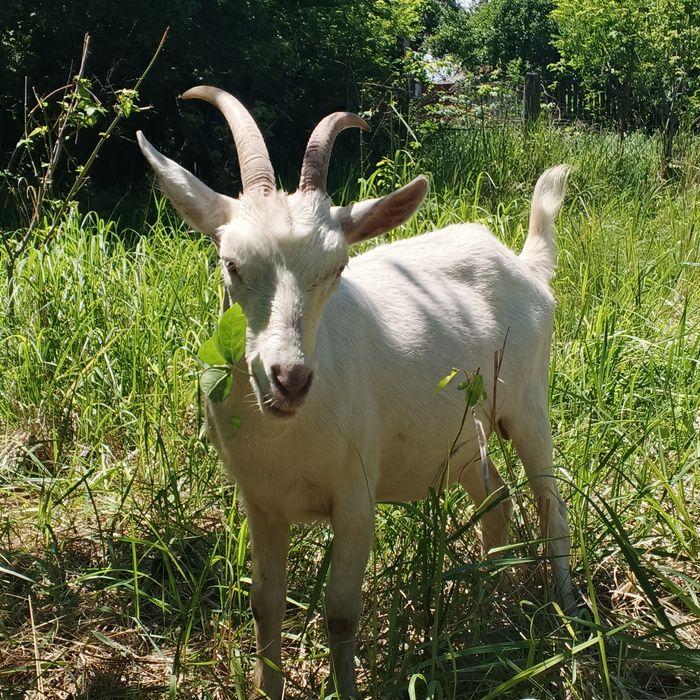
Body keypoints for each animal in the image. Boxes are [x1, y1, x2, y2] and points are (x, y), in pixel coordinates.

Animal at [137, 85, 574, 699]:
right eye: (231, 263)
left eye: (338, 266)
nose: (289, 377)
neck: (286, 438)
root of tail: (524, 265)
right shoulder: (260, 502)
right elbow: (264, 604)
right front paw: (266, 685)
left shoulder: (356, 494)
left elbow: (341, 614)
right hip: (464, 437)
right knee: (497, 501)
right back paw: (486, 614)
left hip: (529, 402)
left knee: (549, 501)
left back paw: (568, 611)